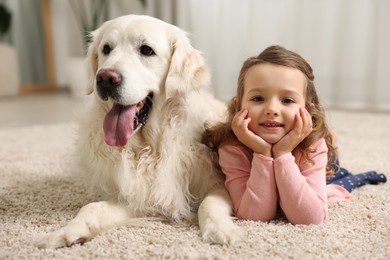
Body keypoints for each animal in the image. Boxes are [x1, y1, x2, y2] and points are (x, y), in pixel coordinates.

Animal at [36, 15, 244, 249]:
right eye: (106, 48)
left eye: (146, 50)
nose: (105, 78)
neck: (150, 146)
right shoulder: (137, 194)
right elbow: (92, 207)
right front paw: (66, 231)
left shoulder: (217, 183)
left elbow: (208, 203)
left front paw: (221, 230)